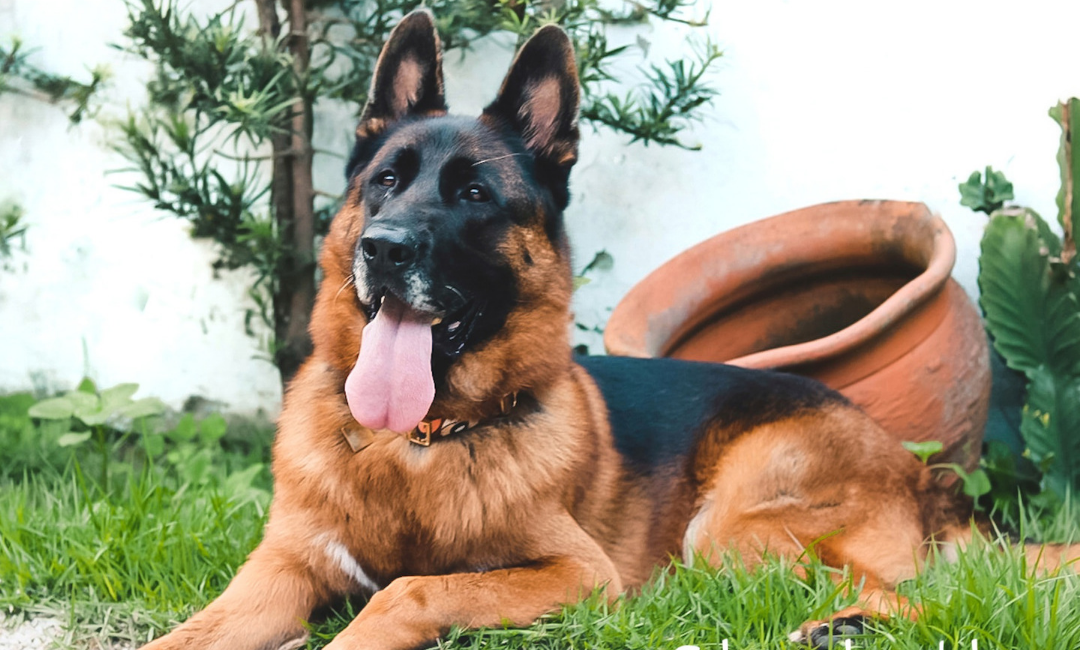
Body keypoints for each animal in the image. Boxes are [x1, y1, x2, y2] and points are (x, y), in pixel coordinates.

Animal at [143, 10, 1080, 647]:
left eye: (474, 194)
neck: (417, 444)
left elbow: (404, 589)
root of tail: (919, 476)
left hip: (729, 530)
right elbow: (191, 632)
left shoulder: (573, 572)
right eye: (385, 181)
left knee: (923, 598)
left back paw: (841, 625)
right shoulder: (278, 573)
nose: (383, 248)